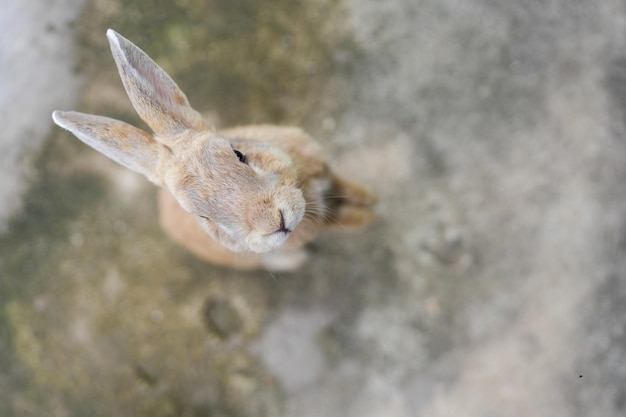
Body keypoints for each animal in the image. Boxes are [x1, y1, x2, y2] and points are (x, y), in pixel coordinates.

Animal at [52, 29, 376, 270]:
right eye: (203, 217)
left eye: (238, 153)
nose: (277, 223)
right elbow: (345, 219)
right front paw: (368, 218)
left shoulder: (327, 175)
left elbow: (350, 191)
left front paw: (372, 202)